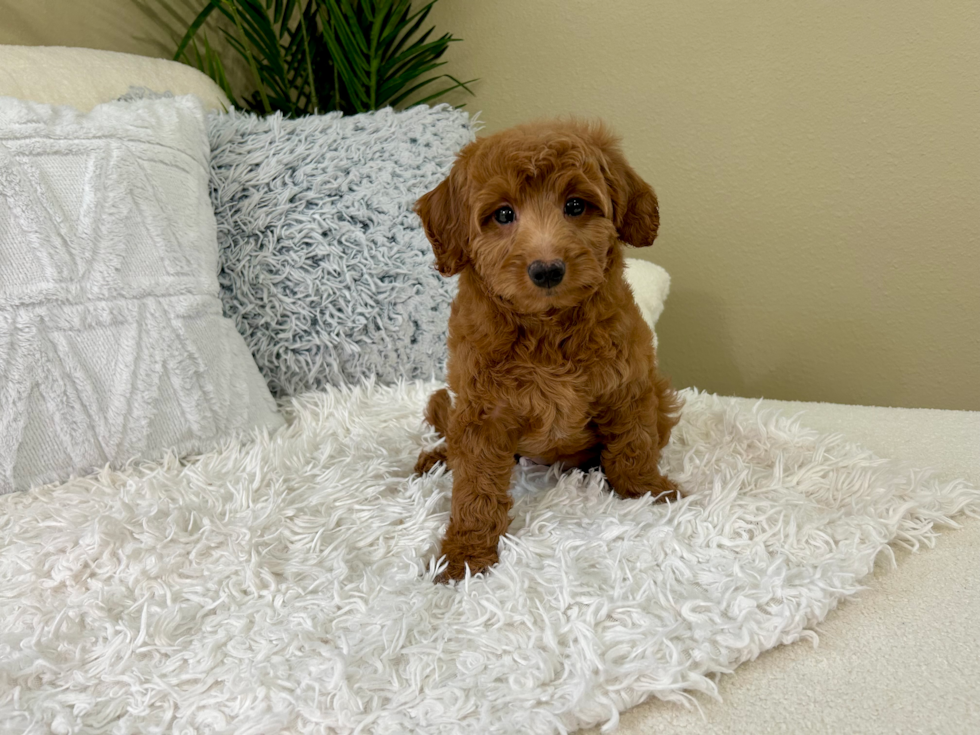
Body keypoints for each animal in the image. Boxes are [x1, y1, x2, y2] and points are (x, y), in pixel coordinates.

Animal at [414, 119, 680, 580]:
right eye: (504, 214)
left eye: (575, 205)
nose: (547, 270)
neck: (546, 327)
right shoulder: (481, 412)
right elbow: (475, 486)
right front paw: (466, 554)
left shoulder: (627, 385)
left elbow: (634, 444)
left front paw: (646, 491)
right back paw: (438, 457)